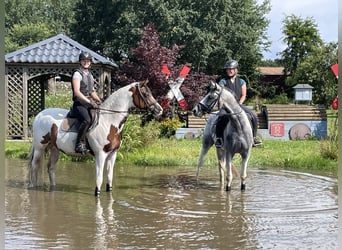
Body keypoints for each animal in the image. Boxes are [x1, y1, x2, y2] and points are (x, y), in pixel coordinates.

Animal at [28, 80, 163, 195]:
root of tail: (39, 115)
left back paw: (53, 188)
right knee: (34, 166)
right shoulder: (100, 155)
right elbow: (99, 179)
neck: (109, 121)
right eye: (145, 94)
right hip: (40, 147)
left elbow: (109, 179)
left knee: (50, 168)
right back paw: (33, 187)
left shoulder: (113, 154)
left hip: (55, 148)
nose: (159, 110)